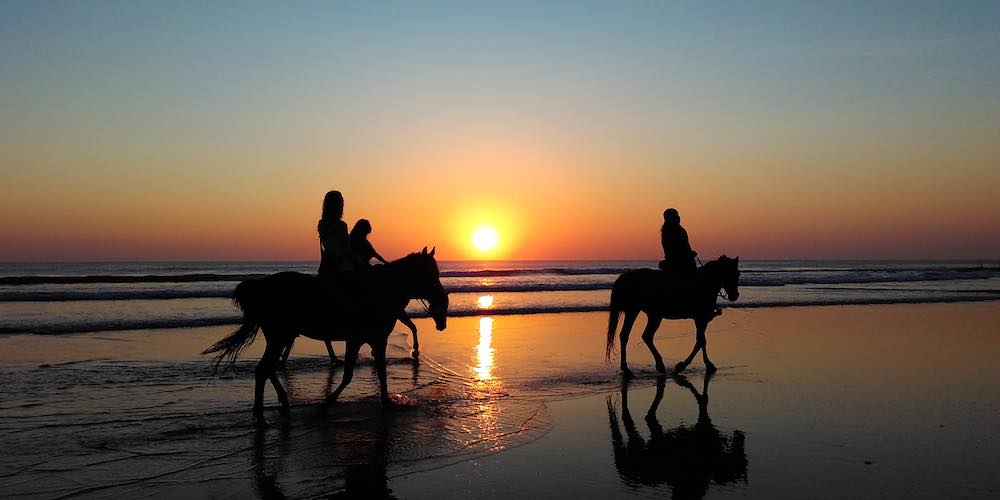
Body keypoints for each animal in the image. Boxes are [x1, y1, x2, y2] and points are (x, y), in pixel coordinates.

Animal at [205, 247, 448, 418]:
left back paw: (280, 404)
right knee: (264, 369)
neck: (379, 291)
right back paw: (263, 413)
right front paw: (326, 404)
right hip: (279, 336)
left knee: (267, 368)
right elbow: (351, 374)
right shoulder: (359, 339)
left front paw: (387, 402)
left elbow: (380, 372)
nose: (442, 299)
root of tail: (260, 286)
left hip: (280, 337)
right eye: (430, 274)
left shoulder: (375, 340)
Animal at [604, 256, 740, 376]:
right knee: (639, 335)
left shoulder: (700, 320)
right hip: (641, 313)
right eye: (733, 273)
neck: (705, 282)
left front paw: (703, 364)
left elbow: (700, 341)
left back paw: (631, 368)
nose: (735, 295)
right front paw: (687, 366)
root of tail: (626, 276)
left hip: (644, 313)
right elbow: (701, 341)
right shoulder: (701, 319)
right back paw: (651, 366)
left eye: (737, 274)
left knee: (632, 335)